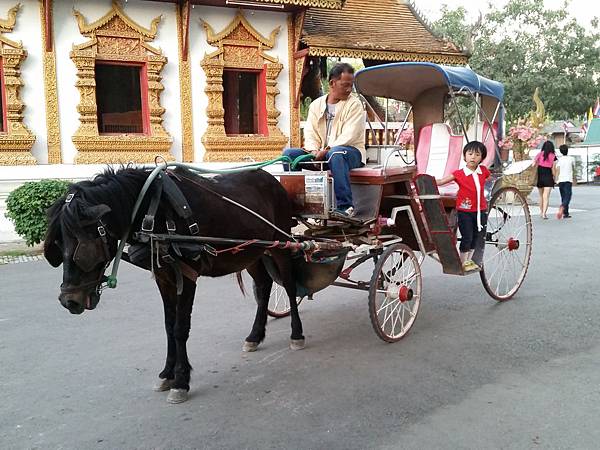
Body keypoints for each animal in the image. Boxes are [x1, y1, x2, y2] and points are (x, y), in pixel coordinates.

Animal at [44, 166, 302, 404]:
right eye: (57, 244)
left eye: (84, 246)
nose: (69, 301)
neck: (153, 210)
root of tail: (271, 178)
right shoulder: (163, 277)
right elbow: (169, 325)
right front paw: (167, 374)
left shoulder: (188, 275)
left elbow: (180, 328)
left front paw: (181, 380)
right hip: (252, 252)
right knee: (264, 287)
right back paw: (255, 336)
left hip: (281, 243)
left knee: (289, 286)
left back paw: (297, 334)